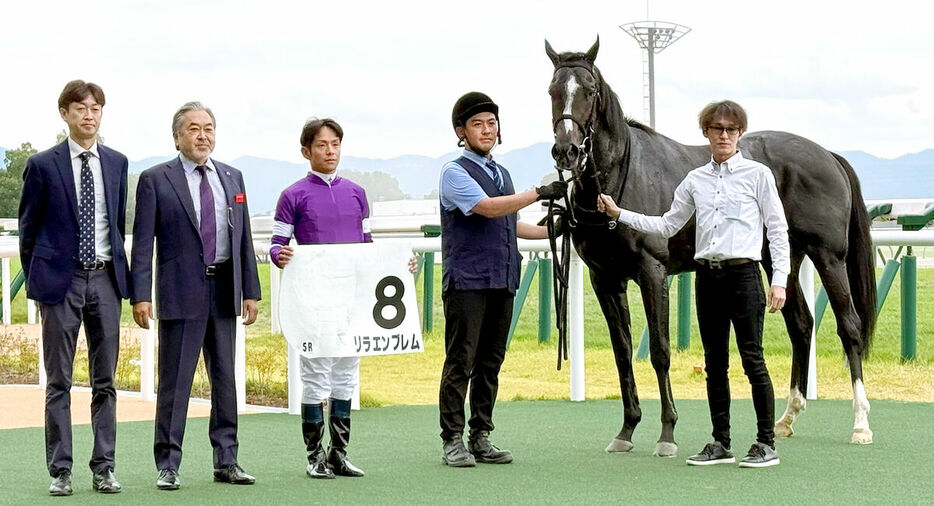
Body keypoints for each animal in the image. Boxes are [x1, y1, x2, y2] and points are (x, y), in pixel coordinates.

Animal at [544, 39, 880, 454]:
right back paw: (787, 418)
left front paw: (667, 433)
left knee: (849, 326)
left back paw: (860, 423)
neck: (623, 173)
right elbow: (622, 353)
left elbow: (660, 351)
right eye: (553, 91)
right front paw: (627, 429)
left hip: (829, 257)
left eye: (589, 91)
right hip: (780, 258)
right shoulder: (605, 279)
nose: (567, 151)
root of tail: (828, 155)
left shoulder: (652, 272)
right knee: (801, 325)